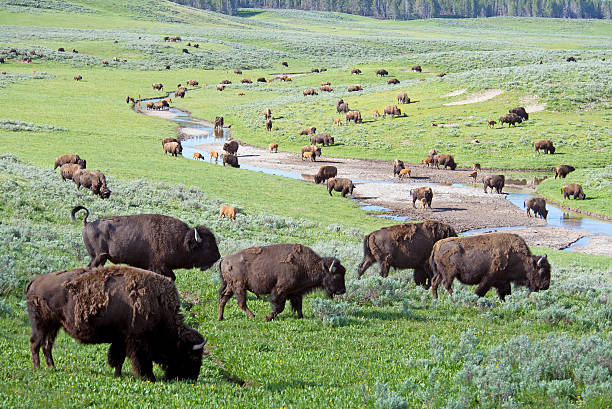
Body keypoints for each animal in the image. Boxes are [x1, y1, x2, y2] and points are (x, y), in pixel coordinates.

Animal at [26, 262, 207, 380]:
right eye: (192, 356)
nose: (192, 377)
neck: (159, 305)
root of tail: (34, 280)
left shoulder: (121, 339)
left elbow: (119, 358)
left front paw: (117, 375)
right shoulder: (137, 340)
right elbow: (139, 360)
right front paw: (148, 377)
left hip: (54, 326)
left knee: (47, 345)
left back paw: (52, 367)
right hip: (41, 325)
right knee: (35, 343)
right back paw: (37, 368)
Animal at [71, 206, 220, 278]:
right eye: (207, 245)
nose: (218, 256)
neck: (181, 240)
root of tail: (87, 223)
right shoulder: (159, 266)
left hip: (101, 258)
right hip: (98, 257)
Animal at [218, 244, 346, 320]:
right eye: (336, 276)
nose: (343, 291)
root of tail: (224, 260)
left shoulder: (296, 292)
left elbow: (299, 306)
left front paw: (301, 317)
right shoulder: (280, 290)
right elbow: (279, 307)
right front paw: (267, 317)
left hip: (231, 287)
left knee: (223, 299)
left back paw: (221, 318)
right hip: (239, 287)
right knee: (240, 302)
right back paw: (252, 316)